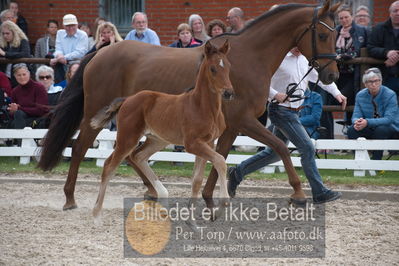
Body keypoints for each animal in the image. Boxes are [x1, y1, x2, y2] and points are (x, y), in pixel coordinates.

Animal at [90, 40, 234, 218]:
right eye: (213, 69)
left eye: (228, 66)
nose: (229, 93)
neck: (202, 107)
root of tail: (127, 99)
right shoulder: (192, 144)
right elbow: (220, 161)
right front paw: (221, 206)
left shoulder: (208, 143)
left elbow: (197, 179)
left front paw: (193, 217)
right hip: (127, 138)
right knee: (109, 165)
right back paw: (96, 214)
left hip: (157, 140)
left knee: (138, 156)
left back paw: (163, 197)